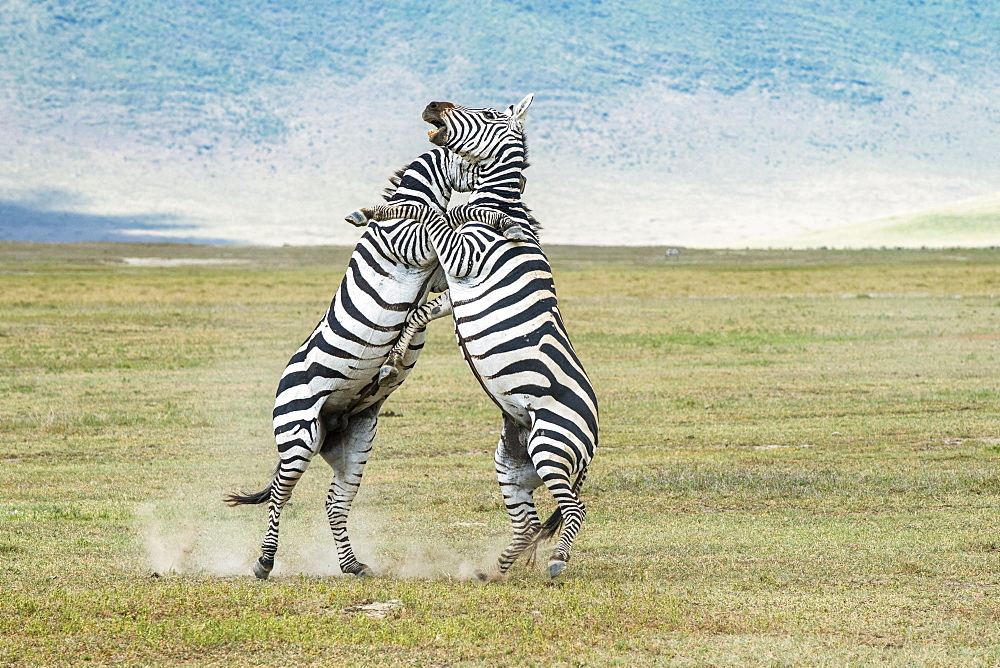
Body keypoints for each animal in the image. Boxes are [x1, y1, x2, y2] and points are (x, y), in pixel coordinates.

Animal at [224, 111, 520, 580]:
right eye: (472, 162)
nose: (511, 194)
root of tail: (328, 424)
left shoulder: (436, 272)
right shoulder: (413, 247)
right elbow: (431, 222)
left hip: (355, 442)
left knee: (334, 502)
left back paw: (353, 565)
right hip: (298, 435)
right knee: (280, 497)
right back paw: (264, 562)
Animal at [356, 95, 596, 580]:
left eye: (486, 114)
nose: (433, 104)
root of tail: (595, 439)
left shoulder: (463, 257)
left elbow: (433, 214)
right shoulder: (453, 286)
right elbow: (422, 309)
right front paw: (393, 358)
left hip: (551, 445)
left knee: (575, 508)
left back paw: (557, 561)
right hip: (514, 461)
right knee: (528, 524)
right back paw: (493, 570)